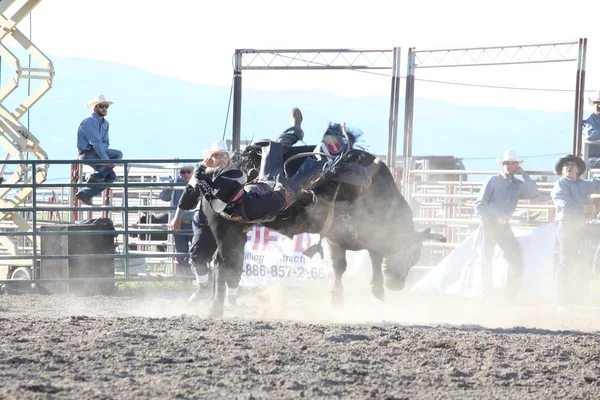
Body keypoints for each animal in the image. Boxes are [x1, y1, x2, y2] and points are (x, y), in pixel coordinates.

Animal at [202, 139, 446, 318]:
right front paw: (376, 289)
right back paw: (215, 308)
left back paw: (214, 304)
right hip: (228, 232)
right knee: (223, 265)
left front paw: (337, 299)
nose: (397, 284)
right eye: (412, 254)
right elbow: (374, 257)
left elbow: (340, 266)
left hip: (231, 235)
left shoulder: (335, 237)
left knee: (218, 263)